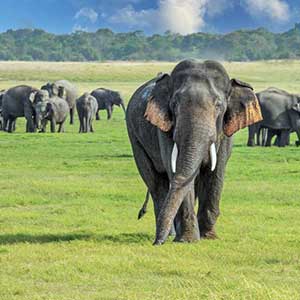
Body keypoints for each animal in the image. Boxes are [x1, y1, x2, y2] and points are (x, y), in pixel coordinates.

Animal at [125, 59, 262, 246]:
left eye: (219, 105)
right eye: (174, 104)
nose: (156, 243)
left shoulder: (224, 132)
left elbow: (216, 173)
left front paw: (208, 237)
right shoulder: (165, 128)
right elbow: (176, 172)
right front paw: (188, 240)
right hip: (135, 138)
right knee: (156, 183)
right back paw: (169, 234)